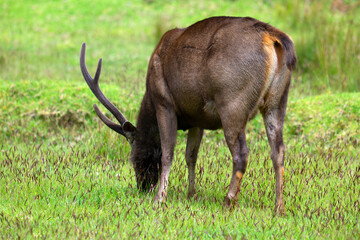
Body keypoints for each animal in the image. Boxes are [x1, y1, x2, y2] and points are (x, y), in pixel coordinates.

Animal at [80, 16, 296, 214]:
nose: (143, 187)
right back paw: (279, 207)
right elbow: (191, 155)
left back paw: (228, 201)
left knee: (241, 153)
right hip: (277, 101)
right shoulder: (196, 117)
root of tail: (273, 37)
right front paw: (191, 193)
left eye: (135, 158)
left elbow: (168, 153)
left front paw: (160, 198)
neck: (149, 98)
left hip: (233, 101)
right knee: (278, 151)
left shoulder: (164, 102)